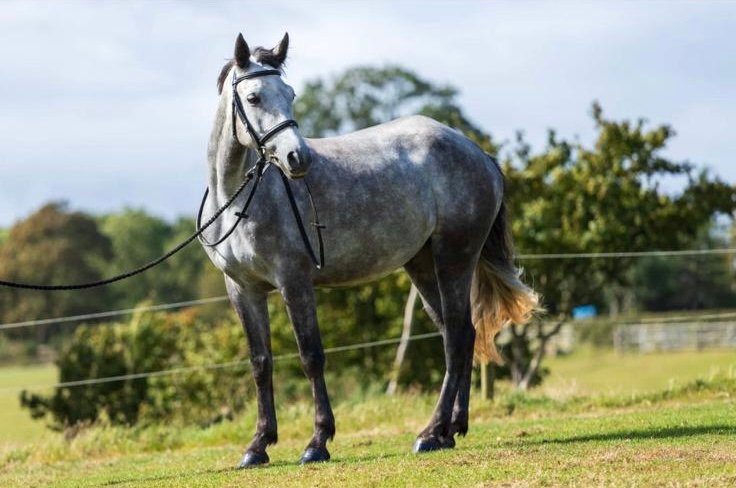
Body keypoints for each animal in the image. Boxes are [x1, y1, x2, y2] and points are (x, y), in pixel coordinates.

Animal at [199, 32, 539, 468]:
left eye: (290, 94)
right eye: (255, 97)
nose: (298, 158)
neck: (240, 200)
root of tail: (478, 152)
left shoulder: (295, 282)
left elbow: (311, 356)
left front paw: (317, 441)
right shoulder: (243, 289)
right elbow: (261, 363)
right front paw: (258, 446)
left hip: (454, 258)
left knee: (458, 336)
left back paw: (430, 433)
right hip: (423, 265)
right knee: (459, 334)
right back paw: (449, 430)